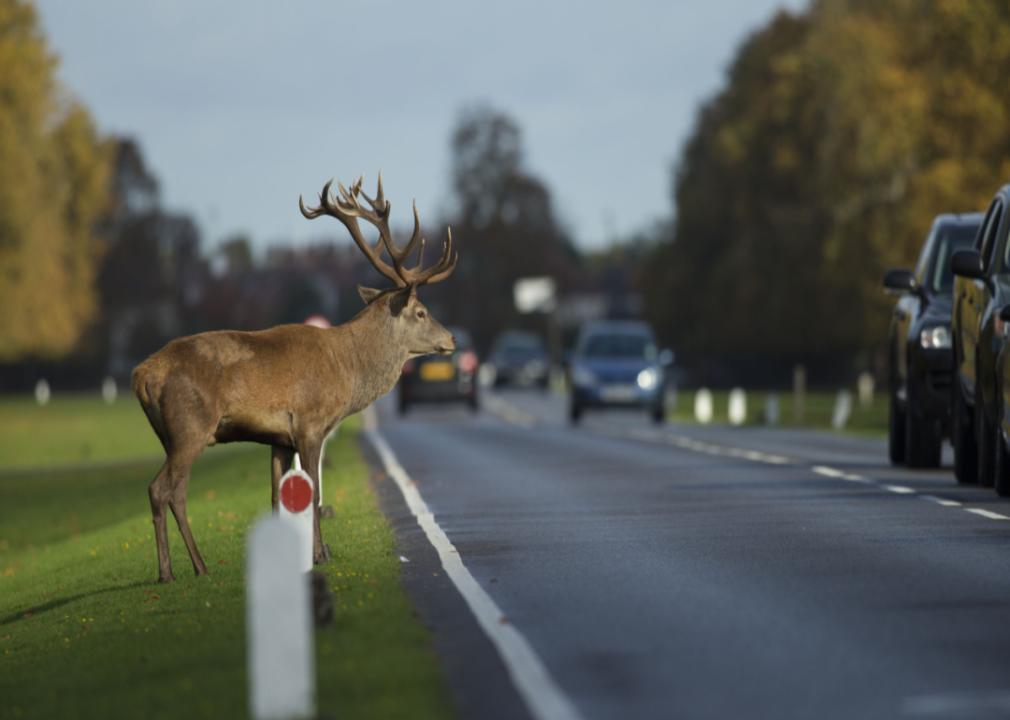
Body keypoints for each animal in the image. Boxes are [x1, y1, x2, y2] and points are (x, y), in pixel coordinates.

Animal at [132, 175, 456, 585]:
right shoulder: (310, 424)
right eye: (421, 311)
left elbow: (276, 497)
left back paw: (197, 566)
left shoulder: (278, 438)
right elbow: (313, 494)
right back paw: (168, 572)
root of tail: (141, 376)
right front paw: (320, 554)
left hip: (171, 437)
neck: (346, 369)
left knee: (178, 491)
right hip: (190, 426)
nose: (452, 339)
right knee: (159, 489)